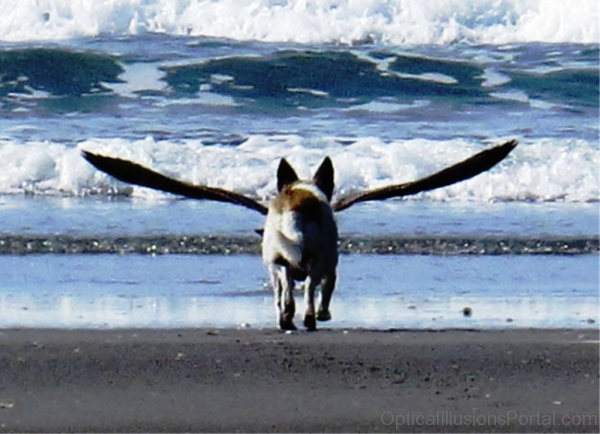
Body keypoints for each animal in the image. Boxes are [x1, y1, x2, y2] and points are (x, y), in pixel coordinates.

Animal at [82, 139, 516, 328]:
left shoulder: (283, 267)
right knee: (306, 296)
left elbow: (285, 291)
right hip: (319, 261)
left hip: (278, 263)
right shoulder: (332, 268)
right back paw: (310, 318)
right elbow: (325, 293)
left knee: (286, 294)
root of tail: (296, 208)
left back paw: (287, 319)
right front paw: (324, 314)